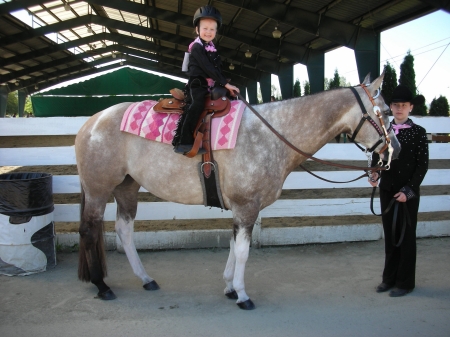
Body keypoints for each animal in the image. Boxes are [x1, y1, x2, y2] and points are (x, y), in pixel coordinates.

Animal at [74, 73, 400, 310]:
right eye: (385, 112)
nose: (394, 150)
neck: (272, 134)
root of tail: (91, 122)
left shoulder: (240, 209)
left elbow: (233, 246)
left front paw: (230, 286)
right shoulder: (246, 207)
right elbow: (243, 251)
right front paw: (242, 295)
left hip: (127, 187)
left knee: (124, 230)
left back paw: (145, 278)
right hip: (98, 189)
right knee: (89, 230)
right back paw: (102, 286)